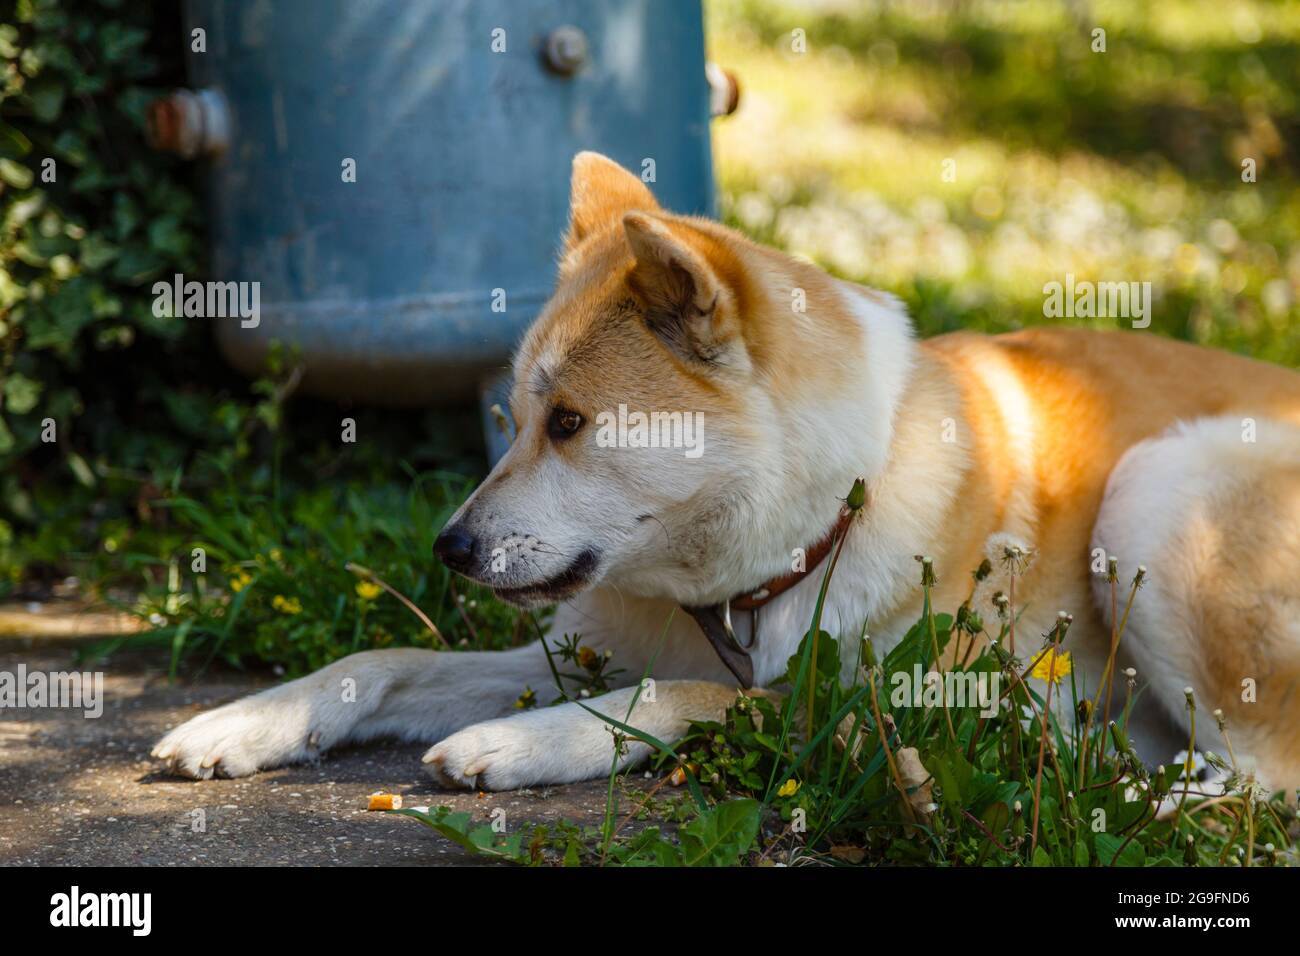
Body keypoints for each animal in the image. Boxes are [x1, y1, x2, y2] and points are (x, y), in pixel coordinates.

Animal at [152, 151, 1300, 790]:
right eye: (513, 418)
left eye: (571, 422)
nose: (450, 548)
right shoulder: (587, 644)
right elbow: (387, 658)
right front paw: (250, 720)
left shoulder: (922, 715)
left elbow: (692, 697)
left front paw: (531, 743)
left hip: (1156, 487)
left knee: (1261, 777)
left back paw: (1117, 786)